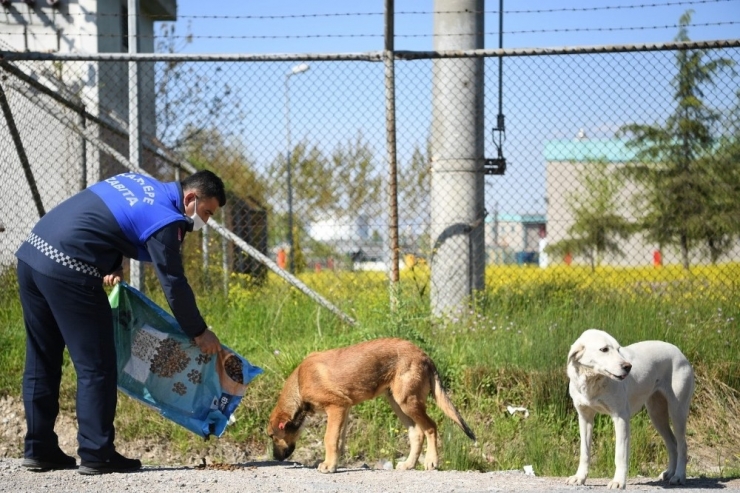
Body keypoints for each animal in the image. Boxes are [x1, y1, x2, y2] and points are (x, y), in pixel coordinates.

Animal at [266, 338, 474, 472]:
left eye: (272, 436)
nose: (275, 459)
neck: (299, 385)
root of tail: (424, 355)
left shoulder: (336, 407)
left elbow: (329, 439)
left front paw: (328, 466)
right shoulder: (345, 409)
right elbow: (339, 441)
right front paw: (334, 464)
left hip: (407, 402)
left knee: (431, 427)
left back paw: (431, 462)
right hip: (398, 403)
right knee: (417, 433)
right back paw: (408, 465)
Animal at [568, 328, 692, 486]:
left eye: (618, 349)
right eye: (604, 349)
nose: (628, 367)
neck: (592, 380)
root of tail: (678, 351)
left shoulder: (621, 418)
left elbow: (620, 454)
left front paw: (618, 482)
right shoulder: (585, 418)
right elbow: (584, 452)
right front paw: (580, 477)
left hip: (677, 412)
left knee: (682, 445)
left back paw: (679, 476)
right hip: (657, 415)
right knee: (672, 444)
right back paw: (670, 473)